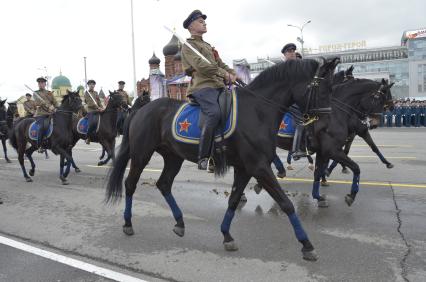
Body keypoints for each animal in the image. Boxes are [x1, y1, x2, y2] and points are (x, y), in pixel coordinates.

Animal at [103, 58, 340, 262]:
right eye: (324, 89)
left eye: (332, 88)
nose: (327, 126)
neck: (257, 111)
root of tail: (141, 109)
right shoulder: (259, 166)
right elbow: (286, 203)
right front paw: (307, 245)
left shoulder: (245, 168)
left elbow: (234, 200)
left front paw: (227, 235)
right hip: (141, 154)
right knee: (130, 184)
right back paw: (128, 223)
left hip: (173, 157)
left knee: (164, 184)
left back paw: (180, 223)